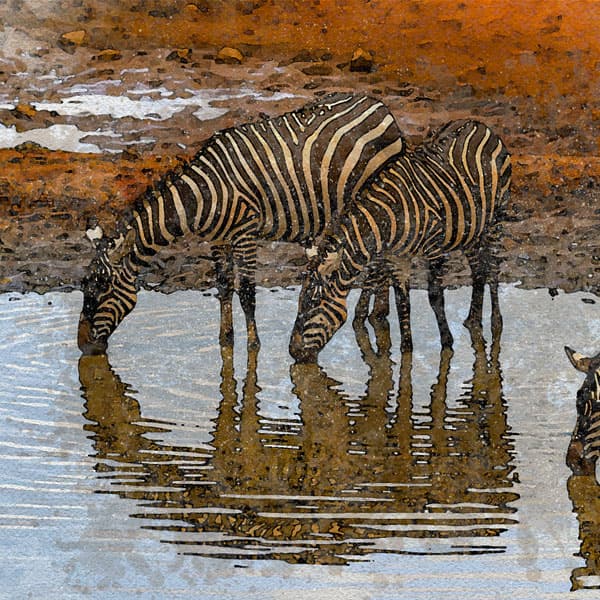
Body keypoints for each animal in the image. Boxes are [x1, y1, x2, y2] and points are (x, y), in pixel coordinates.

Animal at [76, 92, 404, 354]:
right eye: (84, 286)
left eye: (102, 287)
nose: (83, 346)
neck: (202, 196)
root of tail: (379, 104)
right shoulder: (217, 239)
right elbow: (223, 286)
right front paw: (225, 339)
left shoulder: (245, 233)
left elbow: (246, 291)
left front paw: (253, 345)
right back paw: (377, 315)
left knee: (380, 258)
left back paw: (369, 316)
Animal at [290, 117, 510, 360]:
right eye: (299, 304)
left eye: (313, 303)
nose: (293, 352)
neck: (387, 219)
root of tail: (477, 122)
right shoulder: (397, 259)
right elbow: (402, 302)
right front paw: (406, 350)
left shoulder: (434, 248)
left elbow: (435, 297)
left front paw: (446, 343)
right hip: (470, 229)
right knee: (478, 269)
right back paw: (472, 320)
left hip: (496, 219)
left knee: (493, 269)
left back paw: (496, 322)